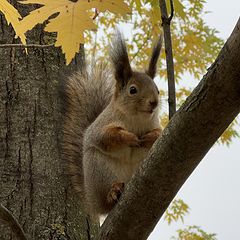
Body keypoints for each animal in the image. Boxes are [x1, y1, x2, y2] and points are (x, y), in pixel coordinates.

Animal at [61, 30, 162, 221]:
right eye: (132, 90)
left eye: (158, 89)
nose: (154, 102)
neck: (136, 118)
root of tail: (92, 201)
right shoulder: (102, 124)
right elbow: (105, 137)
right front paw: (129, 137)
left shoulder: (156, 124)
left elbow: (158, 134)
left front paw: (149, 137)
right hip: (99, 170)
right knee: (107, 201)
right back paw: (112, 192)